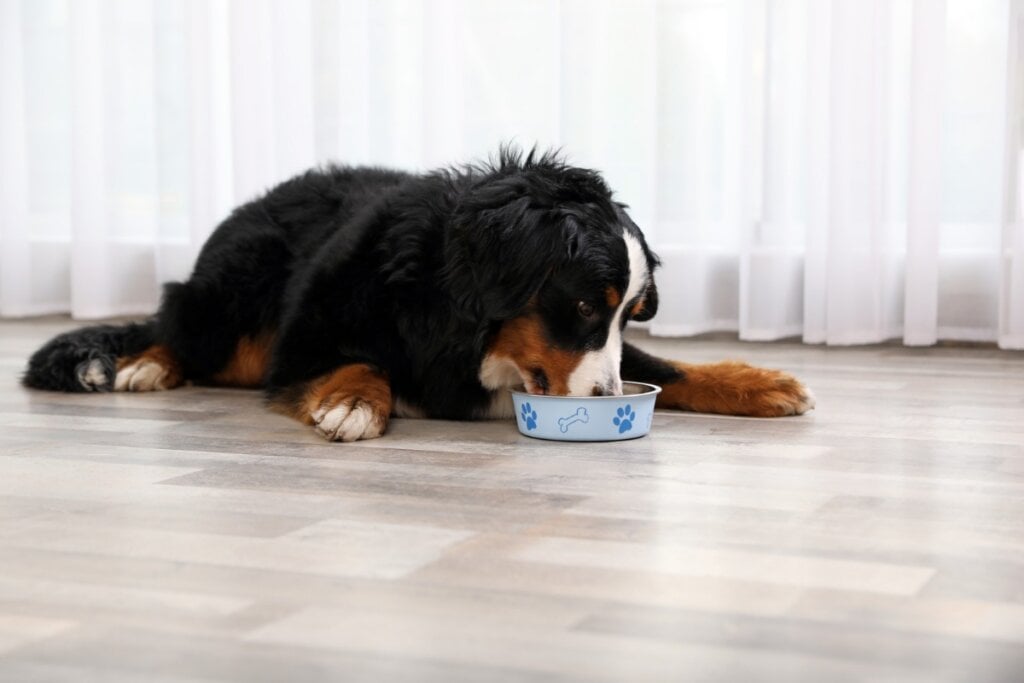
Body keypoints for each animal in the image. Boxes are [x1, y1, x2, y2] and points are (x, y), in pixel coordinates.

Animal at [22, 147, 815, 440]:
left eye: (630, 312)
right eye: (586, 304)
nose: (605, 401)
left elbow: (670, 368)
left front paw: (757, 380)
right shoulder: (305, 339)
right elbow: (358, 360)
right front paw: (353, 401)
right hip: (232, 296)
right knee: (175, 325)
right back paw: (146, 365)